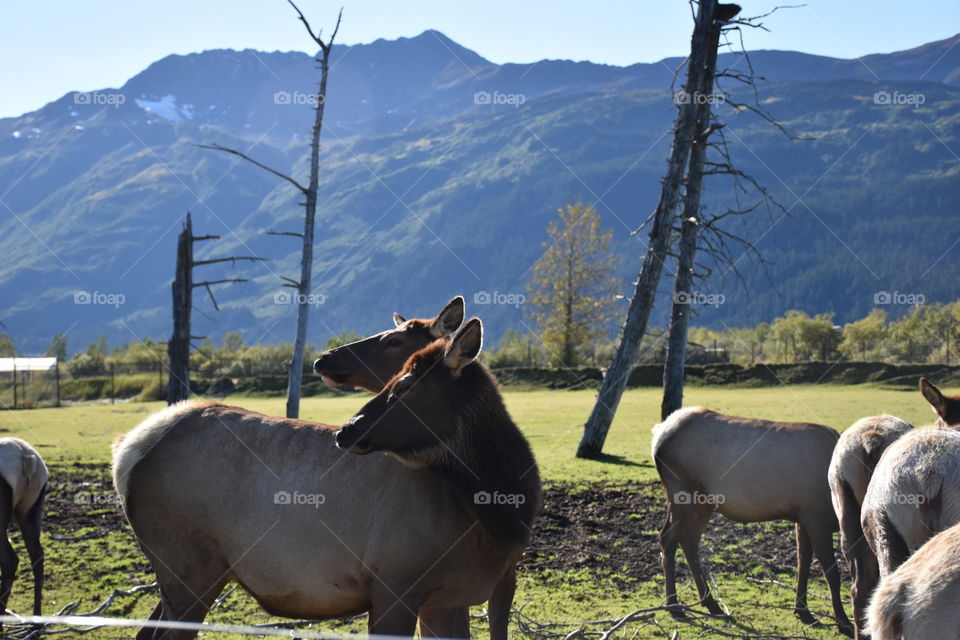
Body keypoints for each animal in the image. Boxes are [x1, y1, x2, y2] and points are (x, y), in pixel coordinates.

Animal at [114, 320, 540, 640]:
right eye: (395, 377)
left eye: (406, 385)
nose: (348, 429)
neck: (496, 520)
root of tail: (127, 453)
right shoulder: (395, 583)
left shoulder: (457, 595)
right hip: (188, 567)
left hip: (194, 573)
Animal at [652, 408, 856, 636]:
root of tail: (658, 435)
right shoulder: (816, 517)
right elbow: (832, 572)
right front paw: (843, 622)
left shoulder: (803, 518)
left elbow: (803, 562)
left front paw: (803, 611)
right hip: (683, 493)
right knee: (668, 539)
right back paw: (674, 606)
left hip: (704, 502)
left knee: (688, 541)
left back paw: (712, 605)